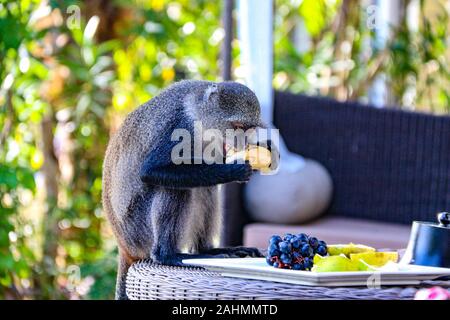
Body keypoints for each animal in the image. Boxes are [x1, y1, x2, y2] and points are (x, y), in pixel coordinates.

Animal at [102, 80, 268, 300]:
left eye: (249, 128)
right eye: (238, 127)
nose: (241, 142)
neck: (198, 112)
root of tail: (124, 247)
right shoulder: (179, 124)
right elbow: (150, 171)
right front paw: (234, 170)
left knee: (206, 188)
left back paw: (207, 250)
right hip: (138, 231)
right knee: (174, 190)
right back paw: (168, 255)